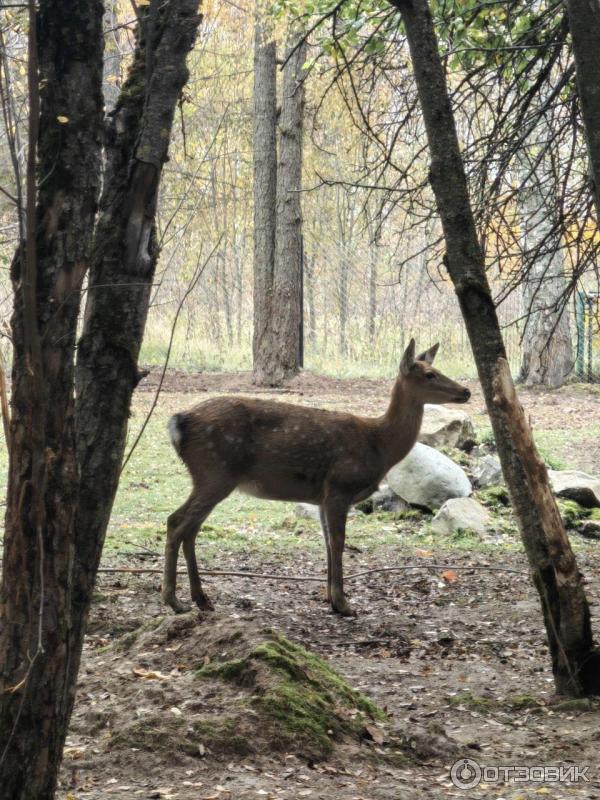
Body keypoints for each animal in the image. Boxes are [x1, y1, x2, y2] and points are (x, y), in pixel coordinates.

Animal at [163, 340, 468, 616]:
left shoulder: (322, 496)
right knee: (176, 522)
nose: (466, 391)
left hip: (210, 477)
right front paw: (344, 604)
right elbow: (338, 542)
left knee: (190, 528)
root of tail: (179, 423)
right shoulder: (340, 487)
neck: (379, 445)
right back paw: (174, 601)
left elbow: (327, 543)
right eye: (429, 374)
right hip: (215, 472)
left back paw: (201, 599)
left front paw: (331, 599)